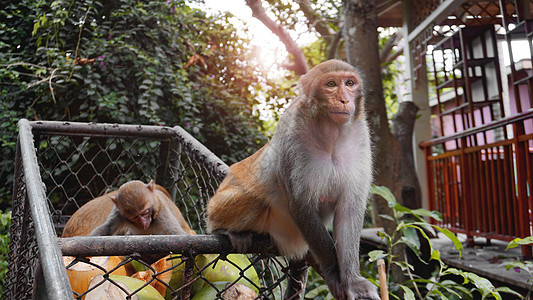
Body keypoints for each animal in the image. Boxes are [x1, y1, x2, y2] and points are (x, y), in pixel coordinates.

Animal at [62, 180, 194, 237]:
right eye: (135, 218)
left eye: (146, 212)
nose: (143, 223)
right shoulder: (119, 213)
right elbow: (107, 228)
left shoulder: (162, 213)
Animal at [208, 59, 378, 298]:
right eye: (331, 84)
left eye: (350, 83)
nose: (344, 99)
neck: (331, 136)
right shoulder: (293, 135)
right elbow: (301, 204)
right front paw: (333, 272)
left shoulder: (361, 138)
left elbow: (349, 210)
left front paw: (352, 281)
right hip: (217, 207)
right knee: (253, 198)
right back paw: (225, 230)